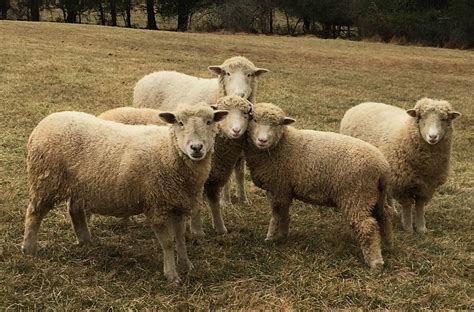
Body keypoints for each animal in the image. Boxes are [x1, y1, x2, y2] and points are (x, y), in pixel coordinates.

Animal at [22, 103, 230, 282]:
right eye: (179, 122)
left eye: (210, 121)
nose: (196, 148)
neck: (169, 151)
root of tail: (46, 120)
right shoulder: (156, 205)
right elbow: (168, 243)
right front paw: (171, 275)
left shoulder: (178, 205)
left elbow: (180, 239)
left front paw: (186, 266)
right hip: (45, 181)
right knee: (34, 214)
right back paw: (29, 249)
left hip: (80, 186)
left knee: (74, 210)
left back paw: (85, 240)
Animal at [98, 95, 254, 234]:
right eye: (226, 112)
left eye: (246, 113)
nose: (236, 130)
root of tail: (103, 115)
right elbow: (197, 207)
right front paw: (197, 231)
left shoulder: (213, 179)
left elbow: (214, 204)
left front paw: (221, 229)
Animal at [133, 56, 268, 207]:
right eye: (227, 73)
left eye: (249, 74)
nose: (240, 94)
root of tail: (148, 76)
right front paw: (225, 201)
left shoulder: (239, 148)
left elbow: (240, 173)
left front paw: (243, 200)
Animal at [243, 103, 394, 270]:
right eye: (254, 120)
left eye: (277, 124)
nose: (262, 140)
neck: (281, 145)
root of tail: (383, 168)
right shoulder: (285, 190)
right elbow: (284, 213)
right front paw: (283, 235)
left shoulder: (277, 187)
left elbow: (276, 215)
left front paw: (271, 238)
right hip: (376, 196)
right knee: (385, 215)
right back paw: (388, 245)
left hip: (356, 195)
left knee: (367, 226)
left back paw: (375, 262)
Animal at [338, 98, 462, 233]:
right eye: (420, 117)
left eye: (444, 119)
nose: (433, 136)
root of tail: (362, 104)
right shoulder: (402, 183)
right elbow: (407, 206)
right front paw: (408, 228)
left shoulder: (427, 186)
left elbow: (420, 207)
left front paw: (421, 228)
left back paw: (392, 210)